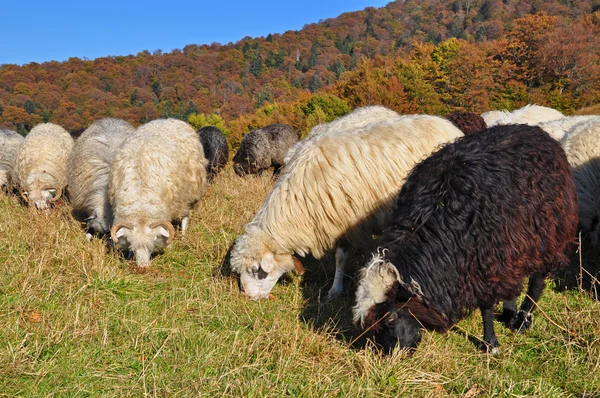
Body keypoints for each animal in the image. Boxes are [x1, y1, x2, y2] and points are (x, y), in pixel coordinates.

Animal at [108, 118, 209, 268]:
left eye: (153, 242)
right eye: (131, 244)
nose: (142, 268)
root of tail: (169, 119)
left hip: (189, 194)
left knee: (185, 217)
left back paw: (183, 236)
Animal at [231, 115, 464, 302]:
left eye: (256, 270)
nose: (247, 297)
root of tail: (447, 124)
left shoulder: (349, 224)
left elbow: (342, 257)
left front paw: (338, 289)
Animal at [354, 124, 580, 354]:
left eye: (390, 318)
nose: (390, 355)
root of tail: (532, 130)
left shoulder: (485, 262)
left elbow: (486, 306)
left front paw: (490, 344)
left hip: (548, 232)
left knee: (537, 280)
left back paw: (523, 319)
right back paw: (509, 313)